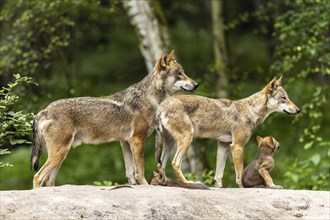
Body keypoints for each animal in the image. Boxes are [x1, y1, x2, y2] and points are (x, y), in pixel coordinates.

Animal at [31, 49, 197, 187]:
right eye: (180, 73)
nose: (196, 84)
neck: (150, 98)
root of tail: (44, 111)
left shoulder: (125, 142)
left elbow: (130, 174)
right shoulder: (137, 140)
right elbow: (140, 172)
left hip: (61, 155)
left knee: (48, 180)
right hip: (59, 153)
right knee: (38, 176)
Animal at [155, 76, 300, 187]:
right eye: (284, 98)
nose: (298, 110)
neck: (250, 111)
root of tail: (161, 106)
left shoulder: (223, 146)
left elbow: (219, 175)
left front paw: (218, 188)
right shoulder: (237, 146)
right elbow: (239, 174)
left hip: (170, 144)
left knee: (161, 166)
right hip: (186, 139)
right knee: (175, 163)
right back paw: (189, 183)